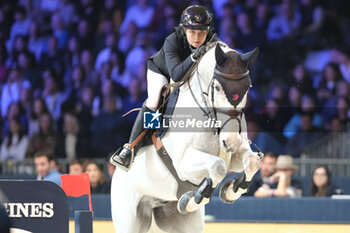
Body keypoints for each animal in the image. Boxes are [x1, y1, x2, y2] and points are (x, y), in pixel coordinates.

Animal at [110, 42, 262, 233]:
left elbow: (252, 162)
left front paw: (230, 191)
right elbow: (217, 167)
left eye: (247, 88)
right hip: (129, 219)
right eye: (217, 87)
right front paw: (191, 200)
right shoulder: (183, 164)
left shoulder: (233, 156)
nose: (231, 142)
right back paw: (124, 157)